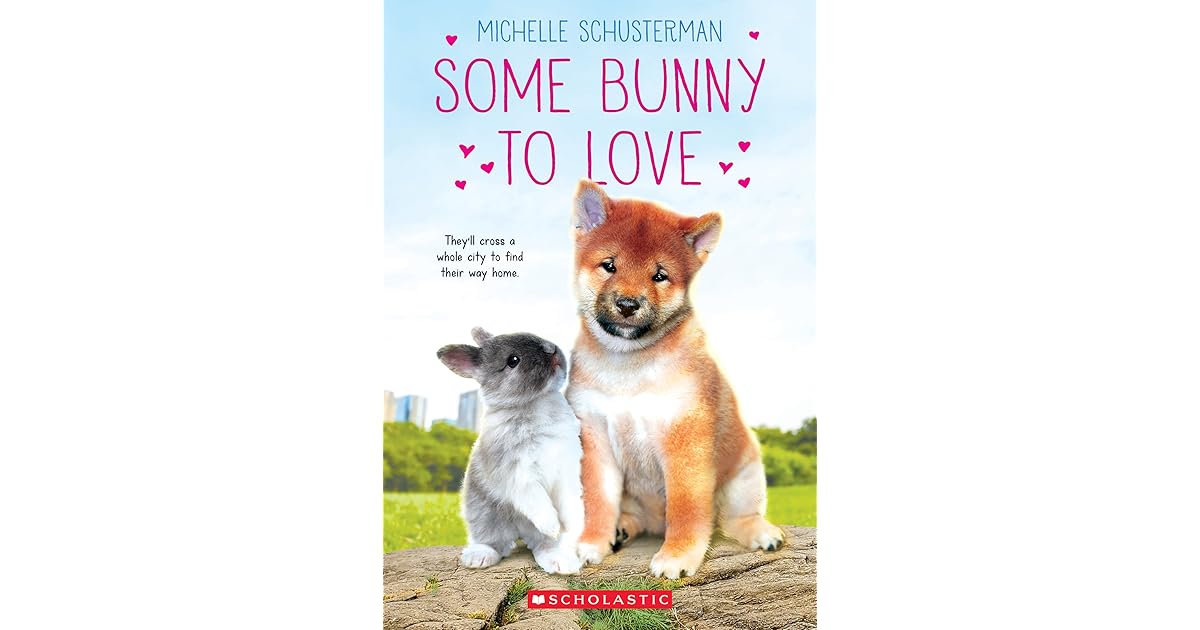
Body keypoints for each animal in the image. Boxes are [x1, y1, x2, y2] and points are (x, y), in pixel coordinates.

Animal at [436, 327, 584, 575]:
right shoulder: (515, 473)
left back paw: (561, 561)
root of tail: (521, 533)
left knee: (545, 547)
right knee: (492, 541)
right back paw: (479, 557)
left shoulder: (566, 470)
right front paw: (552, 525)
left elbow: (570, 502)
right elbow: (535, 498)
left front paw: (573, 522)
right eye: (512, 361)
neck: (533, 403)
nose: (551, 350)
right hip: (484, 516)